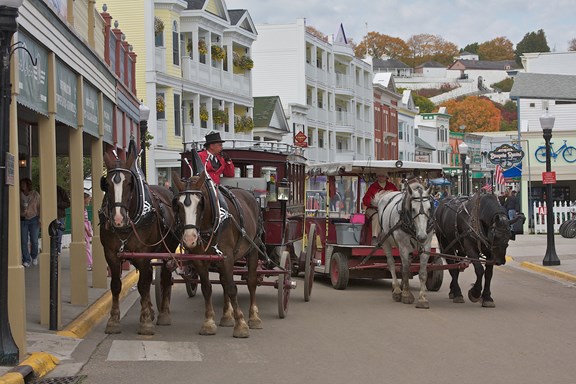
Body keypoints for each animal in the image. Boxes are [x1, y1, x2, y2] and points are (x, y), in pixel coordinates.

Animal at [100, 148, 179, 334]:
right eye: (106, 184)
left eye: (130, 184)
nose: (118, 218)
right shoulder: (111, 254)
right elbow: (116, 285)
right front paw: (113, 321)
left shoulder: (143, 255)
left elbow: (143, 285)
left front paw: (145, 321)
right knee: (150, 275)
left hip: (168, 250)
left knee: (165, 278)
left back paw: (163, 313)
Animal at [170, 172, 262, 338]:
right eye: (178, 205)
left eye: (200, 204)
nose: (190, 239)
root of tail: (249, 193)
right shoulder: (201, 260)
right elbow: (207, 288)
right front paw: (208, 322)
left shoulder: (227, 258)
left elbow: (232, 288)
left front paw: (241, 324)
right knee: (223, 281)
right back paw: (226, 316)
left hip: (253, 248)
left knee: (251, 282)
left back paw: (253, 317)